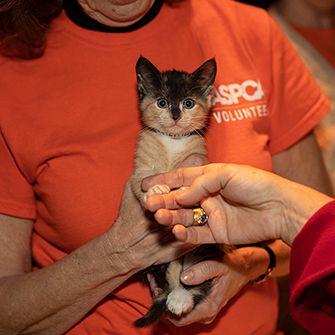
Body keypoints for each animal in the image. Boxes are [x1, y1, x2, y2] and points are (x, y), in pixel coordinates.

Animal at [131, 55, 223, 328]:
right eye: (162, 102)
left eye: (188, 103)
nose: (175, 115)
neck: (172, 141)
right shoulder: (140, 165)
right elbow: (141, 181)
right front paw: (155, 189)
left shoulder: (199, 158)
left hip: (203, 250)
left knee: (194, 283)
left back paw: (181, 299)